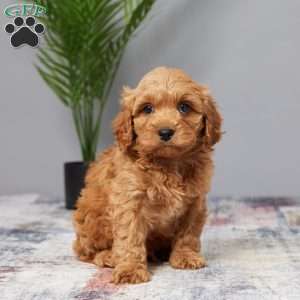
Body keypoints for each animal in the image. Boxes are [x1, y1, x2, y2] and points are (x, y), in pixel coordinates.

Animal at [72, 67, 223, 284]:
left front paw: (185, 256)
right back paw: (108, 256)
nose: (166, 131)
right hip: (91, 218)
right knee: (85, 251)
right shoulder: (130, 200)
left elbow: (188, 233)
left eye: (184, 107)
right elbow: (129, 237)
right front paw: (130, 269)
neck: (167, 163)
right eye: (147, 109)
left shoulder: (195, 202)